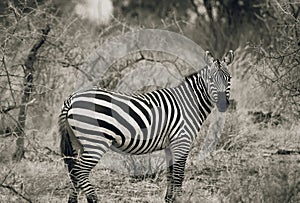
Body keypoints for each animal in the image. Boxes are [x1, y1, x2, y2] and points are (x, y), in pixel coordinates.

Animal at [58, 50, 234, 202]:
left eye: (229, 78)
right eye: (211, 80)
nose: (223, 105)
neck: (188, 103)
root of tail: (72, 98)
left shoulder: (170, 144)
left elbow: (170, 174)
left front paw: (169, 199)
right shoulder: (182, 141)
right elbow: (178, 175)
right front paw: (179, 199)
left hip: (78, 142)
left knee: (74, 172)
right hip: (96, 141)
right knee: (80, 171)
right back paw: (94, 199)